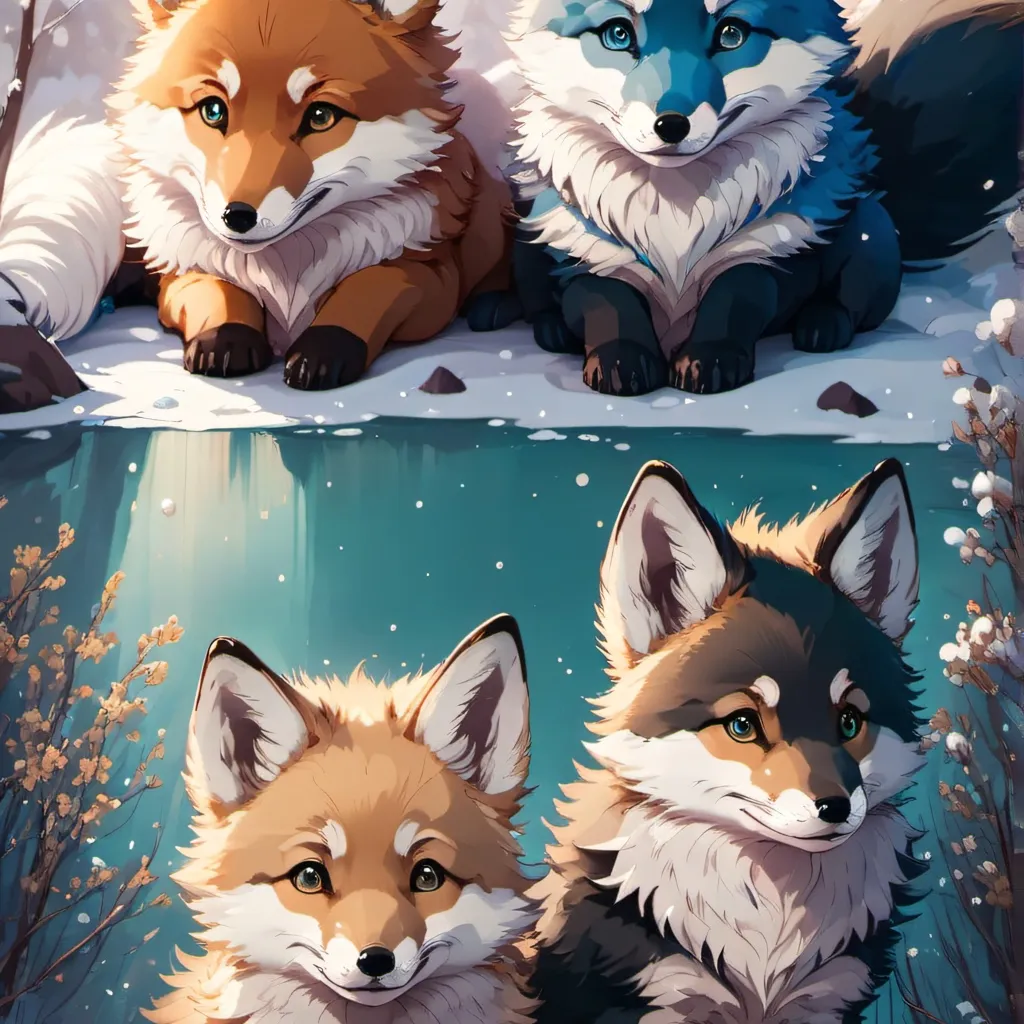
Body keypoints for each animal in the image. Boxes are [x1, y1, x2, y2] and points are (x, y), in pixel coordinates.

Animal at [504, 0, 1024, 396]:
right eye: (617, 33)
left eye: (731, 33)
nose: (671, 125)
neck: (675, 215)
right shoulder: (586, 258)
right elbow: (608, 306)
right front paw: (621, 362)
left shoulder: (763, 255)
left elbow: (731, 303)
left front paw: (710, 361)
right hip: (526, 234)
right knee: (538, 298)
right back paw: (549, 329)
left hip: (870, 228)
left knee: (856, 307)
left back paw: (823, 326)